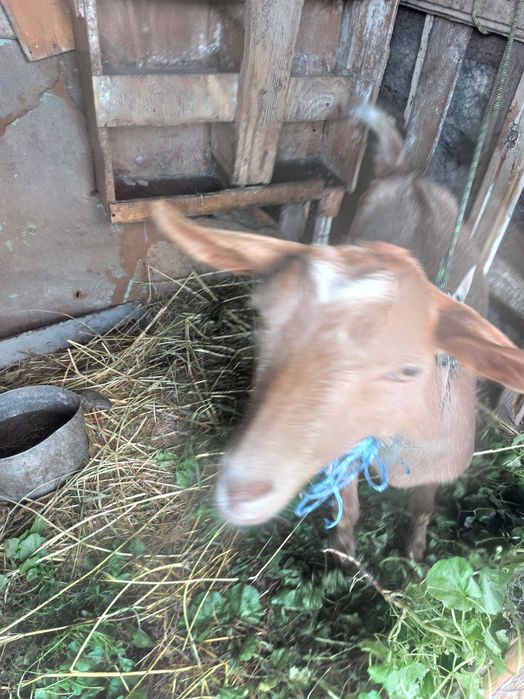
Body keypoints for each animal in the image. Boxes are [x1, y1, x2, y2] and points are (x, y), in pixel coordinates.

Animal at [153, 107, 524, 561]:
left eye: (407, 369)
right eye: (263, 317)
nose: (241, 490)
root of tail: (408, 176)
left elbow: (422, 508)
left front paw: (414, 553)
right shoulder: (343, 455)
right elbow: (347, 509)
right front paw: (344, 553)